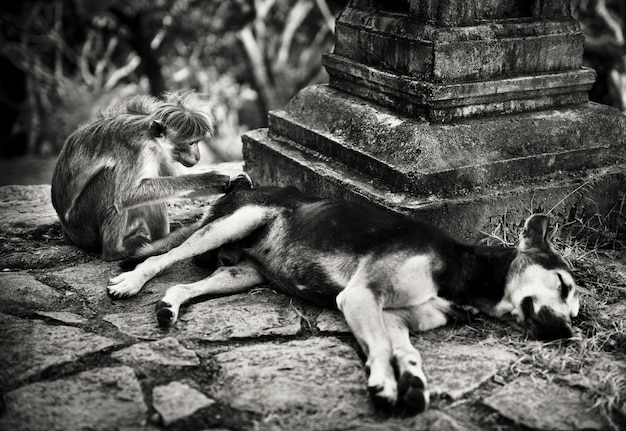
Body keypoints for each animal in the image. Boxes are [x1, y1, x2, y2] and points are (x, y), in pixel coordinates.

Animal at [49, 90, 236, 262]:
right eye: (192, 143)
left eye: (197, 143)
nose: (198, 156)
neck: (152, 138)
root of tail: (68, 233)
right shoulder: (135, 149)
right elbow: (126, 195)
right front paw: (209, 178)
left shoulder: (162, 154)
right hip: (82, 224)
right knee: (111, 178)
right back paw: (115, 252)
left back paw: (159, 243)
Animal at [107, 184, 580, 416]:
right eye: (562, 284)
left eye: (575, 311)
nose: (567, 333)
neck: (463, 269)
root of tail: (238, 186)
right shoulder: (360, 297)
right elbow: (383, 349)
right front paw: (385, 383)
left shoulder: (395, 317)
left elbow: (404, 350)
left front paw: (413, 382)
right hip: (235, 221)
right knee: (163, 258)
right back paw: (130, 282)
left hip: (242, 274)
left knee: (186, 286)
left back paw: (169, 305)